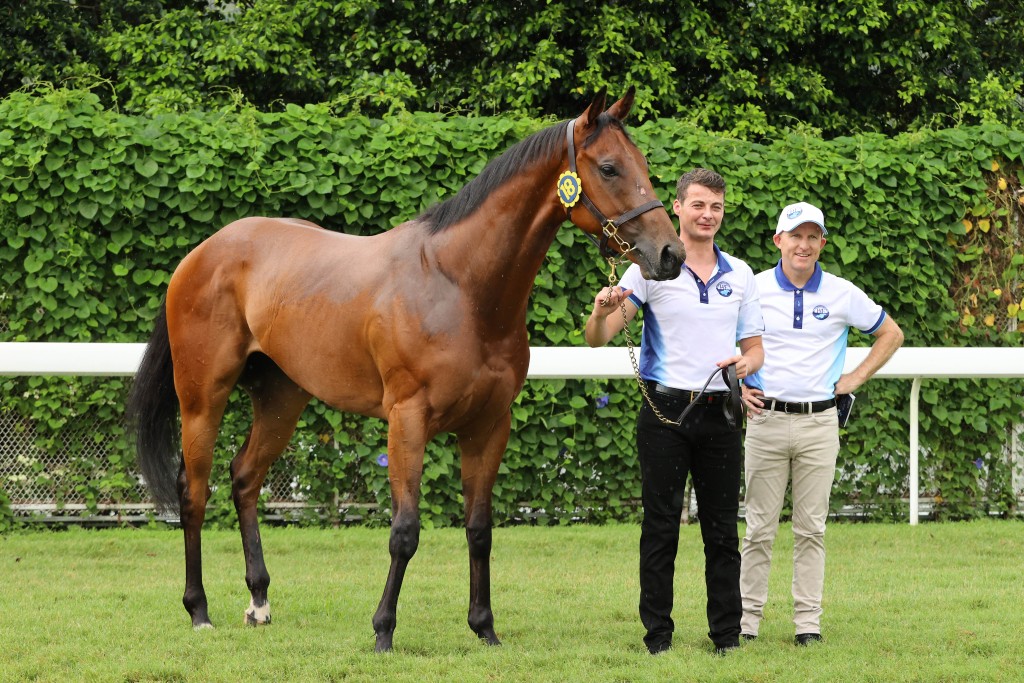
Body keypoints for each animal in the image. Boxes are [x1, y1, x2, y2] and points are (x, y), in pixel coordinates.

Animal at [130, 88, 688, 655]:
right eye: (609, 167)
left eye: (643, 165)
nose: (671, 253)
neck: (460, 285)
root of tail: (201, 253)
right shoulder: (407, 420)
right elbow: (405, 530)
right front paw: (383, 630)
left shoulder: (489, 426)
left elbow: (479, 528)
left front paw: (484, 627)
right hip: (203, 396)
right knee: (193, 491)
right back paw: (199, 610)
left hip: (282, 399)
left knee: (245, 479)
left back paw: (259, 602)